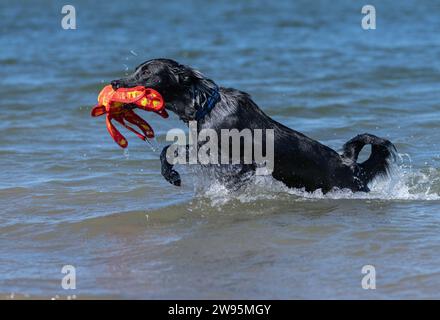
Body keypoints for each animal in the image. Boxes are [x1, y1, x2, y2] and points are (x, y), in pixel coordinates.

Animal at [111, 57, 398, 192]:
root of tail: (351, 164)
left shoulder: (239, 162)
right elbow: (167, 150)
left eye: (146, 73)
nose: (114, 83)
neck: (206, 105)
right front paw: (170, 175)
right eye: (136, 70)